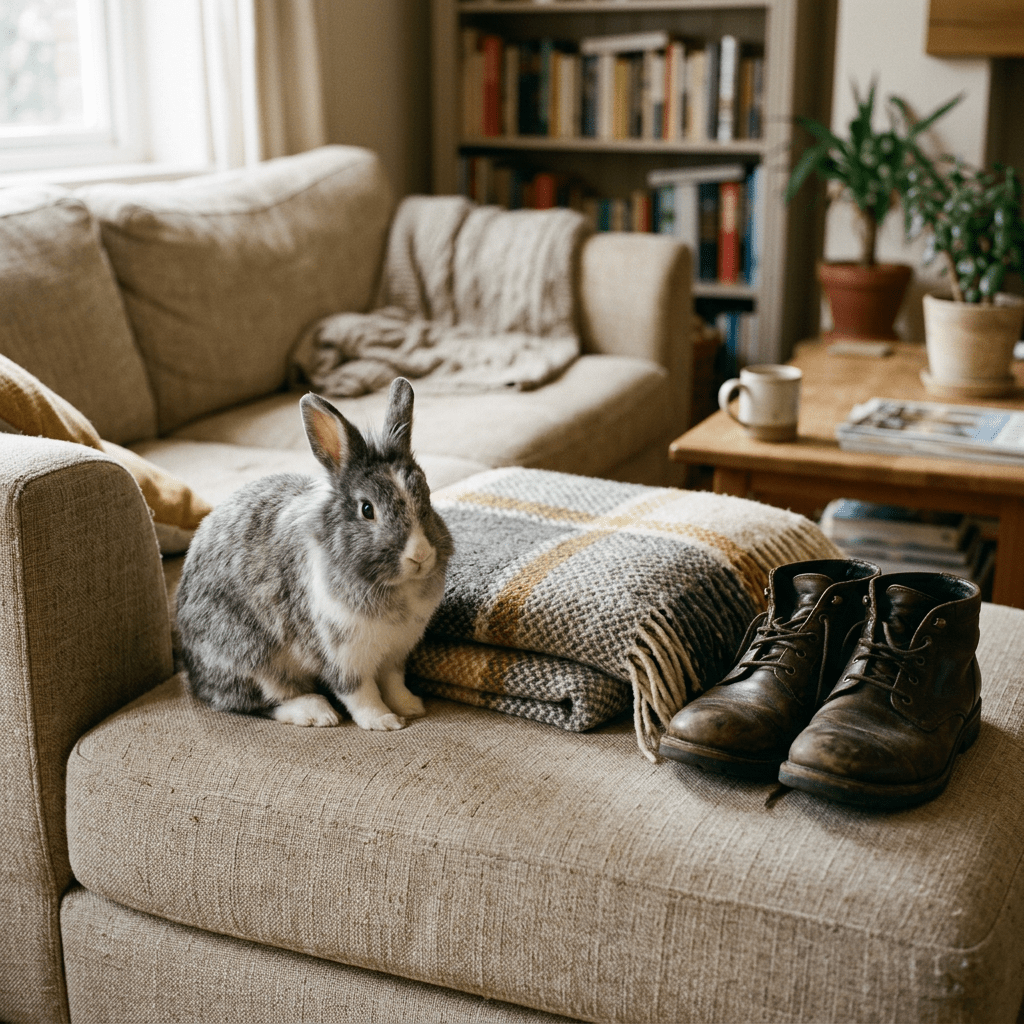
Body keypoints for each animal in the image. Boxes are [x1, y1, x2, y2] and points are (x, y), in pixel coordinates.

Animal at [175, 377, 453, 731]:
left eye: (427, 497)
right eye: (367, 509)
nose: (420, 555)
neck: (395, 588)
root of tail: (192, 674)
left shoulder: (394, 653)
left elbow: (393, 683)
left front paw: (410, 707)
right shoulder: (341, 654)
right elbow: (360, 692)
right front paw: (384, 721)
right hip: (248, 656)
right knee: (254, 701)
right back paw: (315, 711)